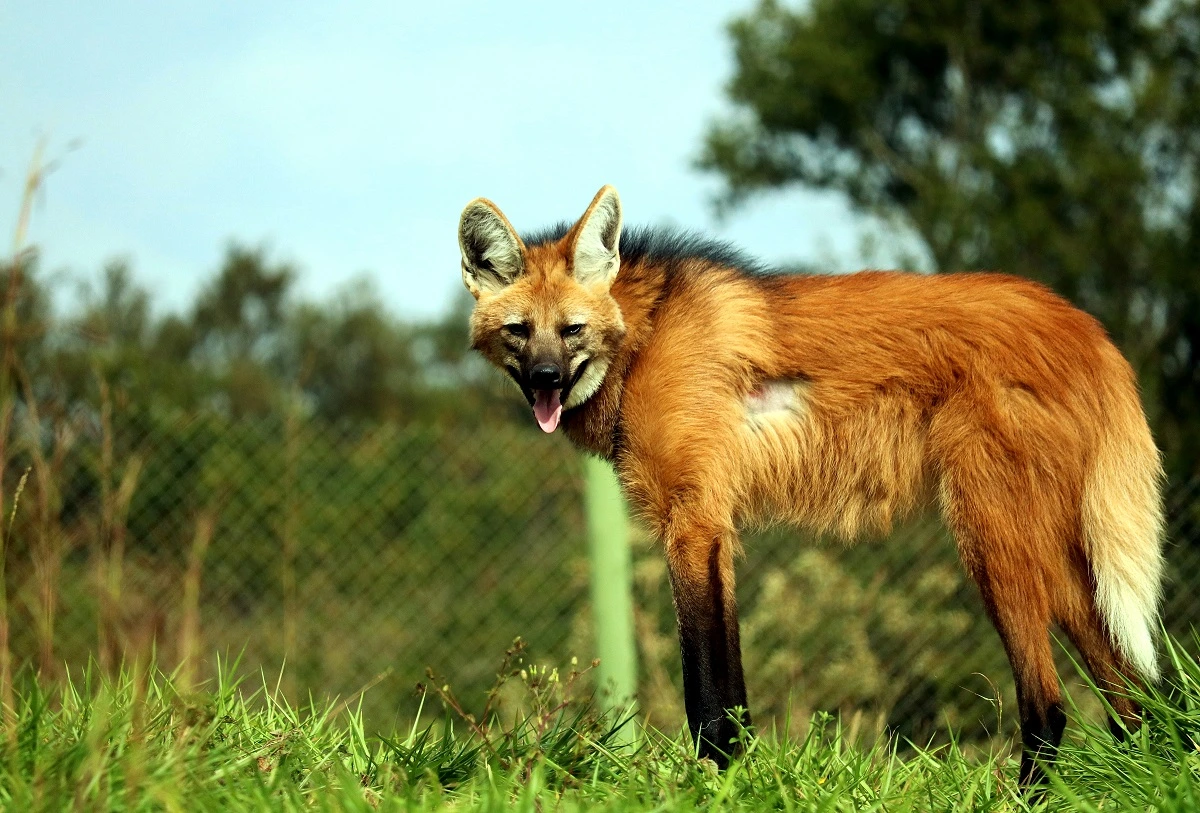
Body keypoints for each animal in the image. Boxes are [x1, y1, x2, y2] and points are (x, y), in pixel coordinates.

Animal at [456, 185, 1161, 791]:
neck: (643, 338)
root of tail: (1084, 325)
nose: (546, 379)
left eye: (571, 329)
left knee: (1049, 705)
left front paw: (712, 783)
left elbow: (705, 690)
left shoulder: (694, 522)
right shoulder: (713, 527)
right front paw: (737, 777)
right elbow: (731, 687)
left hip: (991, 536)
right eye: (520, 330)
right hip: (1052, 548)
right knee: (1139, 695)